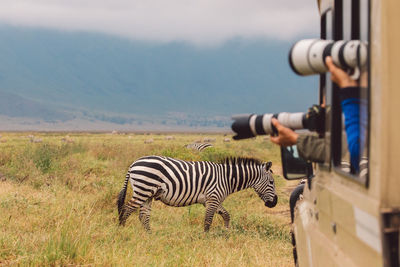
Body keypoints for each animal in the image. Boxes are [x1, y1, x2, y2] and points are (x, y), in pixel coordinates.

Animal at [117, 156, 276, 233]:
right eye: (272, 182)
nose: (274, 203)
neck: (227, 178)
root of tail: (133, 164)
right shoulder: (213, 198)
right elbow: (208, 220)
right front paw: (206, 238)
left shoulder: (211, 200)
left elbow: (226, 215)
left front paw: (226, 232)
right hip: (143, 188)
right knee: (127, 209)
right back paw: (122, 231)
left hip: (147, 193)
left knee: (143, 215)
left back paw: (149, 235)